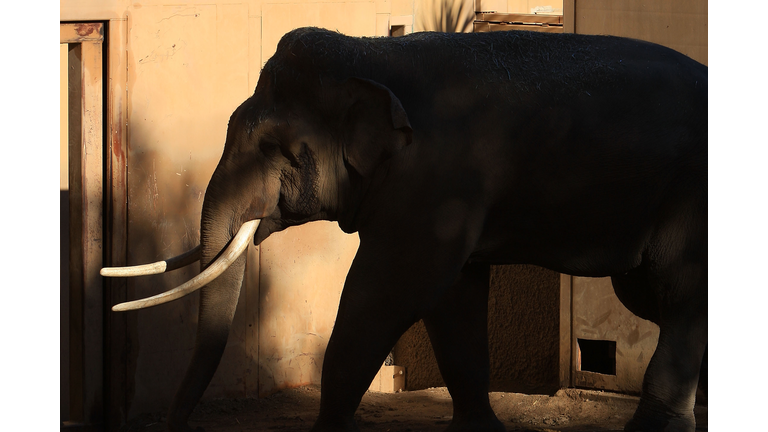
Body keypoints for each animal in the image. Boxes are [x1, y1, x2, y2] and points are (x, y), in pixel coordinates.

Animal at [102, 27, 707, 432]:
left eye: (277, 149)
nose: (177, 425)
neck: (373, 52)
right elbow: (454, 297)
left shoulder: (437, 178)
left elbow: (390, 289)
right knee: (651, 297)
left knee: (678, 293)